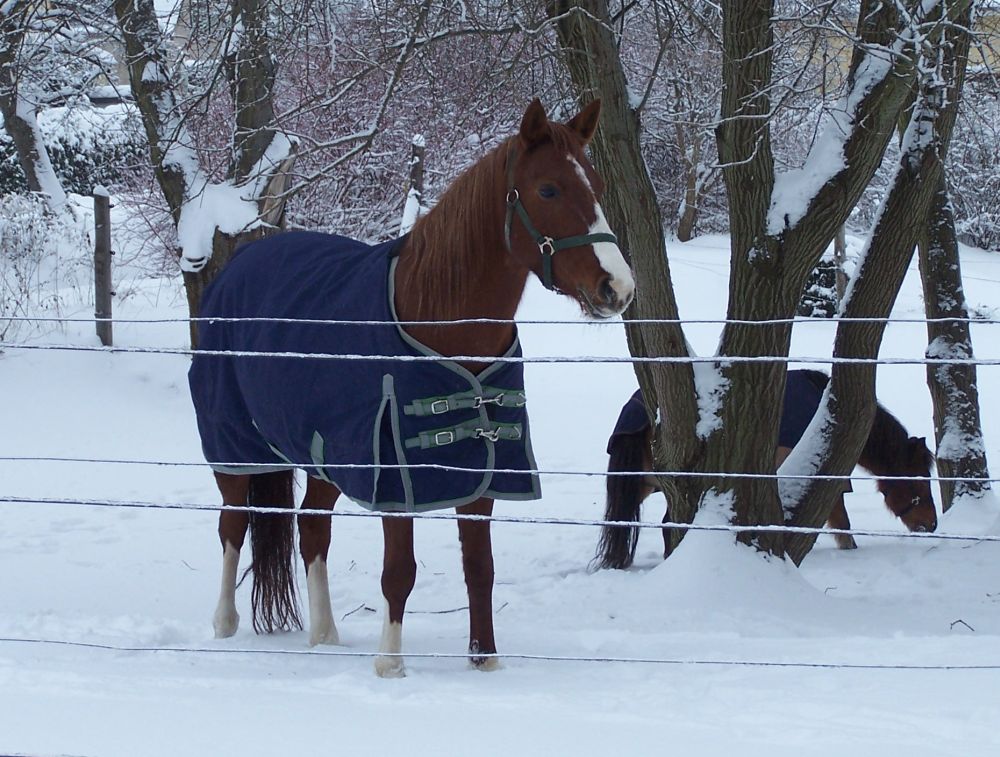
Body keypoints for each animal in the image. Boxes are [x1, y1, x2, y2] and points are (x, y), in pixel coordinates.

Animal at [189, 99, 632, 672]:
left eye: (596, 184)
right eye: (549, 189)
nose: (617, 288)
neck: (439, 319)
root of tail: (239, 265)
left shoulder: (479, 473)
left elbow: (480, 568)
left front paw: (485, 660)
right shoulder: (397, 478)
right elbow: (399, 572)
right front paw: (390, 664)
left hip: (324, 453)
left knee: (312, 529)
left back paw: (325, 634)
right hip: (237, 444)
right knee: (233, 524)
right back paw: (225, 624)